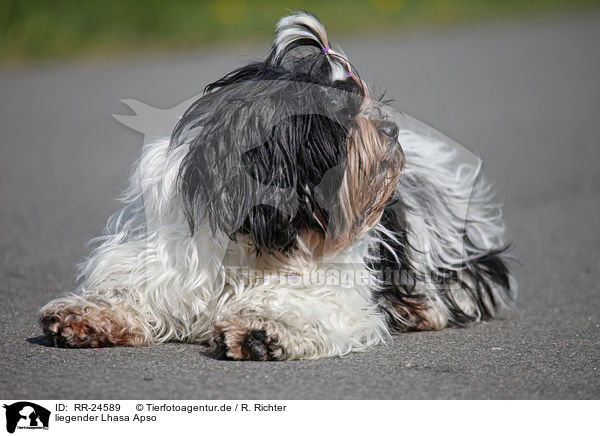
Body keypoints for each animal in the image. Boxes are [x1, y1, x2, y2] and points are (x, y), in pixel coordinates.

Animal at [38, 12, 516, 362]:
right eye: (344, 114)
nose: (391, 130)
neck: (259, 232)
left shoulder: (335, 285)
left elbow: (303, 301)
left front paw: (263, 328)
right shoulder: (167, 259)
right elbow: (131, 288)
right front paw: (85, 315)